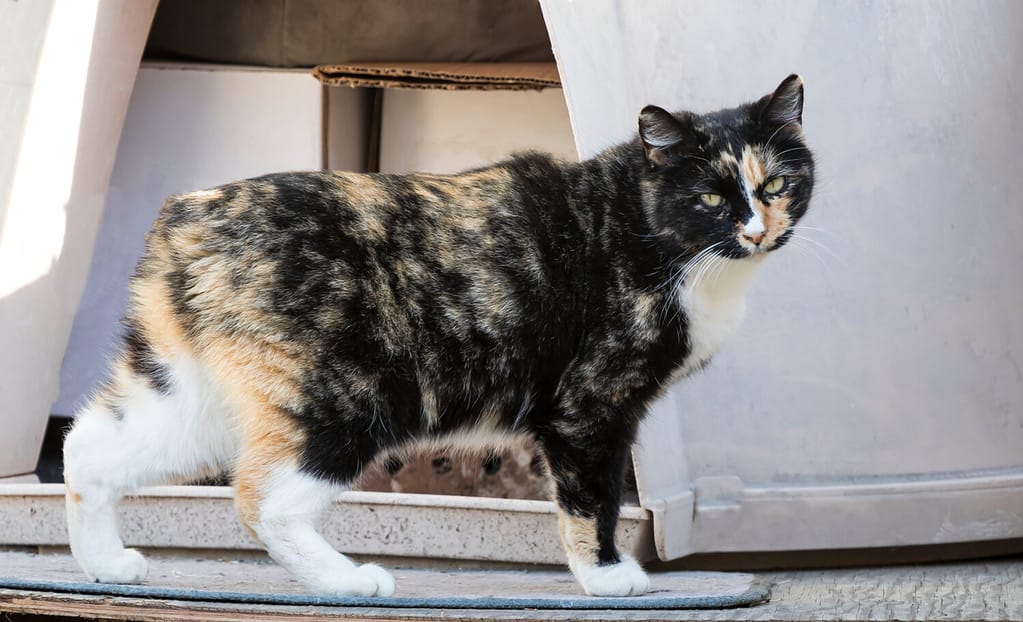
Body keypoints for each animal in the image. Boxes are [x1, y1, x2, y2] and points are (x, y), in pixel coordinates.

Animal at [61, 74, 814, 597]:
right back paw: (349, 581)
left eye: (777, 183)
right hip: (345, 401)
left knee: (87, 448)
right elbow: (590, 497)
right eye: (710, 197)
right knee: (261, 499)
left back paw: (106, 564)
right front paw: (604, 576)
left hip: (190, 398)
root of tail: (188, 215)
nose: (757, 230)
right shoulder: (589, 408)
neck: (648, 226)